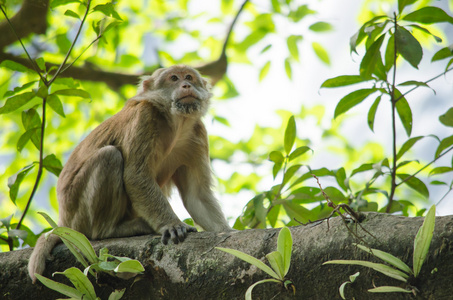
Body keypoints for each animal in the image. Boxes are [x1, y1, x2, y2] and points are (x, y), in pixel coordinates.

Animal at [27, 65, 231, 284]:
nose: (186, 85)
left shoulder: (197, 134)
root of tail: (64, 219)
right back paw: (109, 230)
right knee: (109, 156)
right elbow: (136, 176)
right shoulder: (145, 117)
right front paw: (171, 224)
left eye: (189, 77)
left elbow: (196, 195)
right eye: (174, 78)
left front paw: (228, 231)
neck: (176, 123)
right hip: (77, 210)